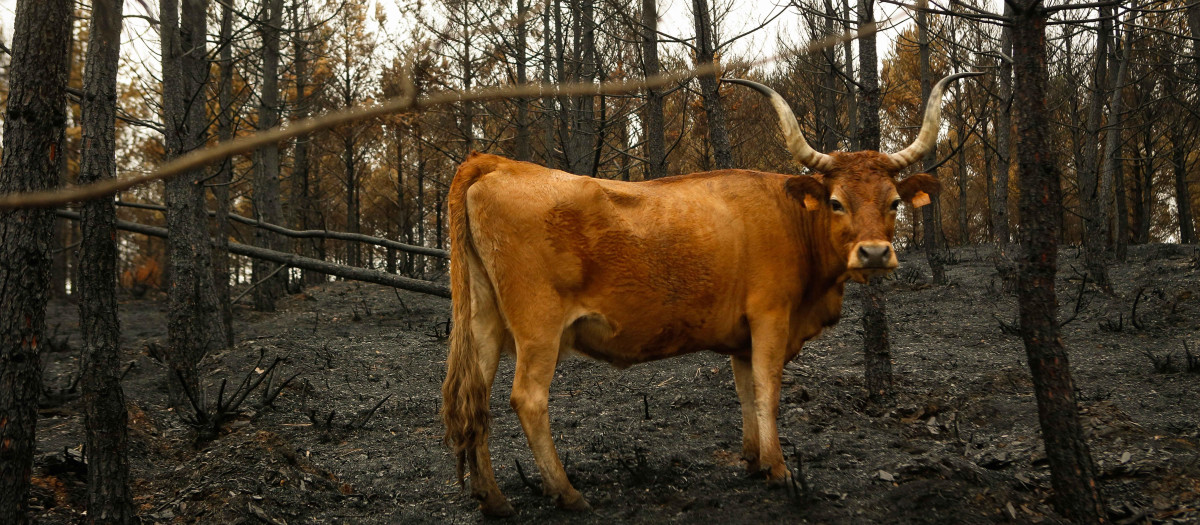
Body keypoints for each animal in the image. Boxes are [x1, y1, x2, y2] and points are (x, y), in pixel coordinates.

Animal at [442, 72, 980, 516]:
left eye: (894, 203)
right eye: (835, 202)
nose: (873, 253)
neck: (791, 219)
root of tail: (496, 163)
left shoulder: (743, 337)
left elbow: (745, 391)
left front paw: (754, 460)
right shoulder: (770, 319)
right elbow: (768, 390)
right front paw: (780, 470)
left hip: (484, 323)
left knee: (477, 401)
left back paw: (493, 499)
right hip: (538, 328)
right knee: (528, 399)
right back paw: (568, 493)